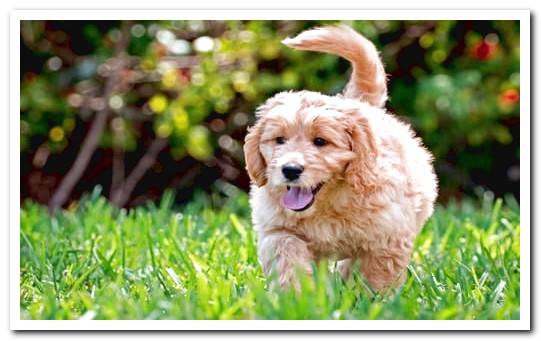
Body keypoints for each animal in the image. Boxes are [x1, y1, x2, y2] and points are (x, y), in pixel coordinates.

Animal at [243, 25, 436, 290]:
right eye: (279, 140)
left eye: (320, 141)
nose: (290, 170)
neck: (328, 204)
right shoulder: (277, 228)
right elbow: (286, 253)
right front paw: (294, 294)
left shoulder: (387, 238)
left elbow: (378, 276)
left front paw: (376, 299)